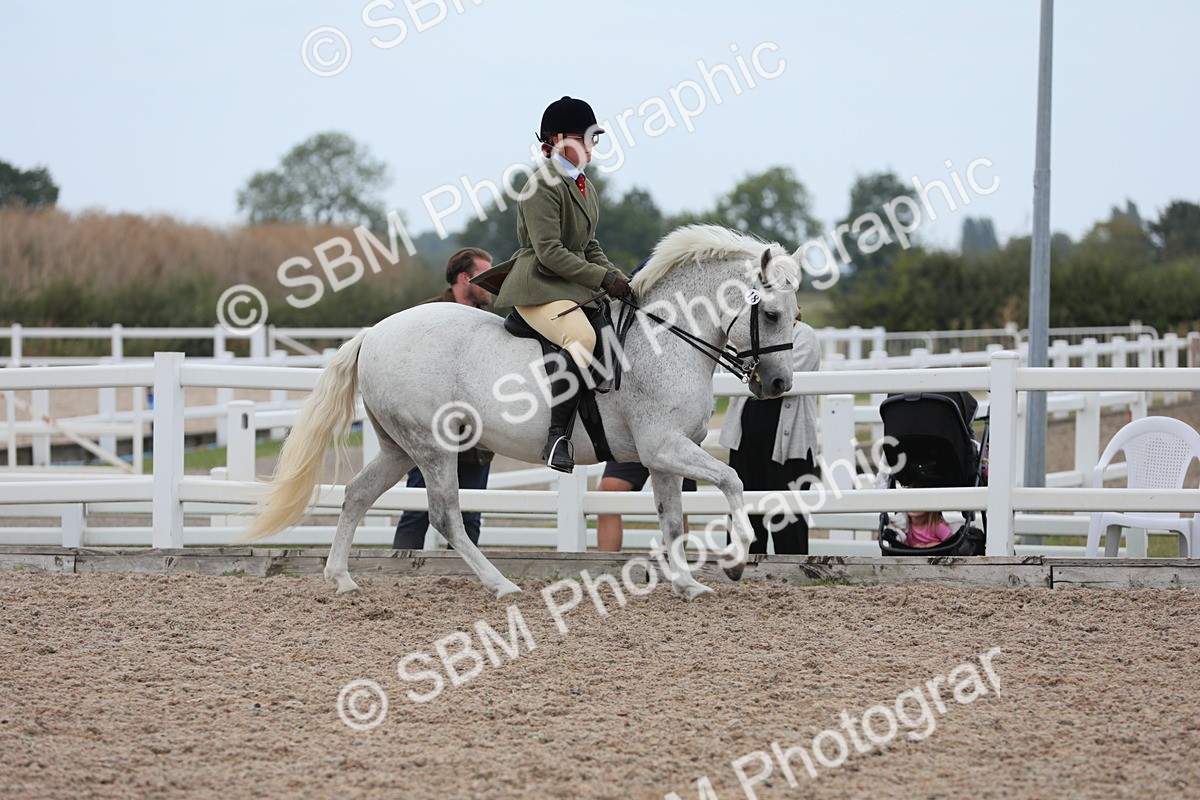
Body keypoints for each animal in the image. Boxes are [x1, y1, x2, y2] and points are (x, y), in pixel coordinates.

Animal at [240, 225, 801, 601]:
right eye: (772, 313)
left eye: (796, 316)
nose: (778, 385)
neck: (664, 338)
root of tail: (374, 333)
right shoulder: (665, 446)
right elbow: (731, 479)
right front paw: (736, 560)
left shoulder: (661, 457)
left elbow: (671, 521)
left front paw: (688, 585)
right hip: (432, 446)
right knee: (446, 516)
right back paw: (501, 585)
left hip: (399, 447)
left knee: (357, 494)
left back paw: (341, 579)